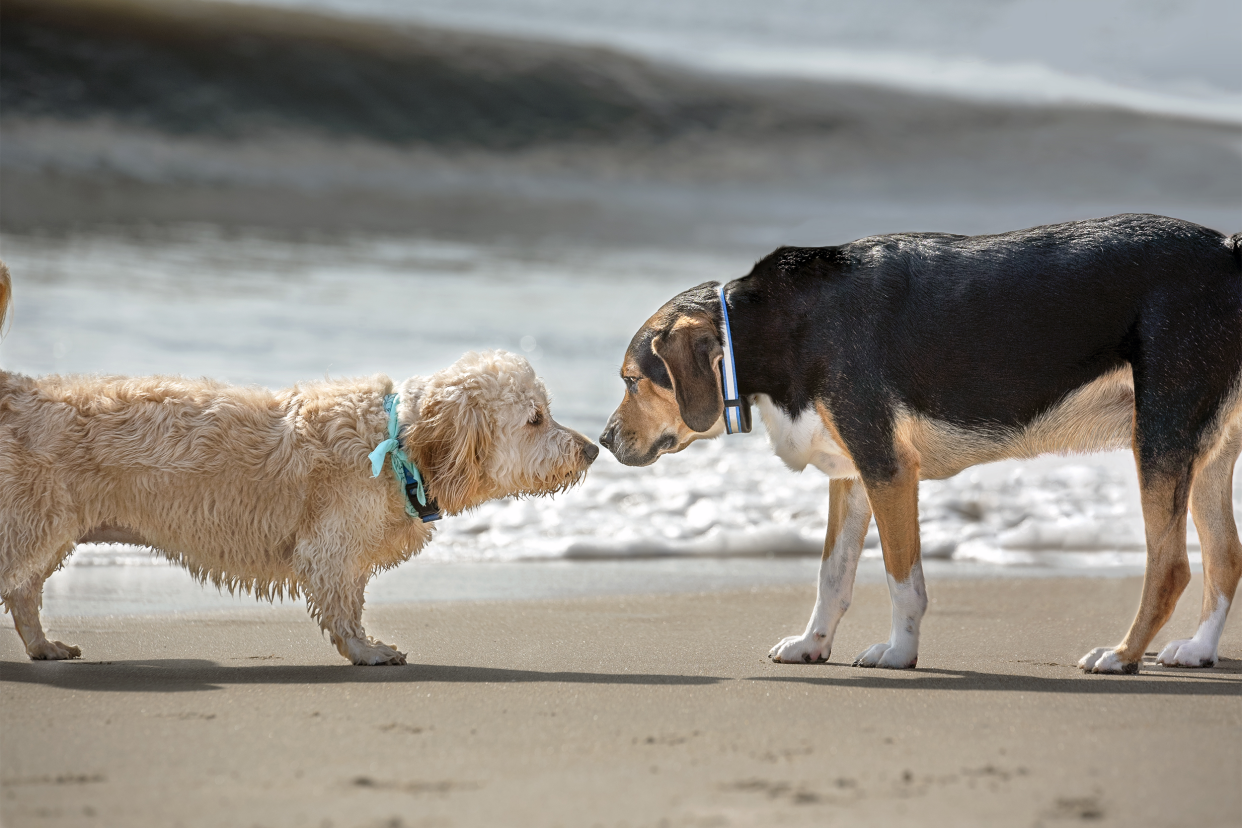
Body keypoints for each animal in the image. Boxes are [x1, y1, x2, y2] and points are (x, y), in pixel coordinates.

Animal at [0, 264, 596, 665]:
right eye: (536, 418)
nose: (592, 450)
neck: (397, 440)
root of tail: (16, 389)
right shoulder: (331, 546)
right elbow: (342, 604)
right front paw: (365, 650)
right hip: (30, 528)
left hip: (46, 534)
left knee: (24, 593)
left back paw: (43, 646)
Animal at [598, 212, 1242, 675]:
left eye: (630, 380)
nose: (602, 440)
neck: (784, 324)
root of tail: (1228, 248)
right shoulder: (852, 477)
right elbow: (832, 577)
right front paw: (813, 643)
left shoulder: (888, 471)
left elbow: (902, 581)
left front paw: (900, 654)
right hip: (1206, 457)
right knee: (1225, 557)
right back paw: (1198, 650)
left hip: (1159, 438)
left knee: (1171, 567)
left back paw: (1122, 655)